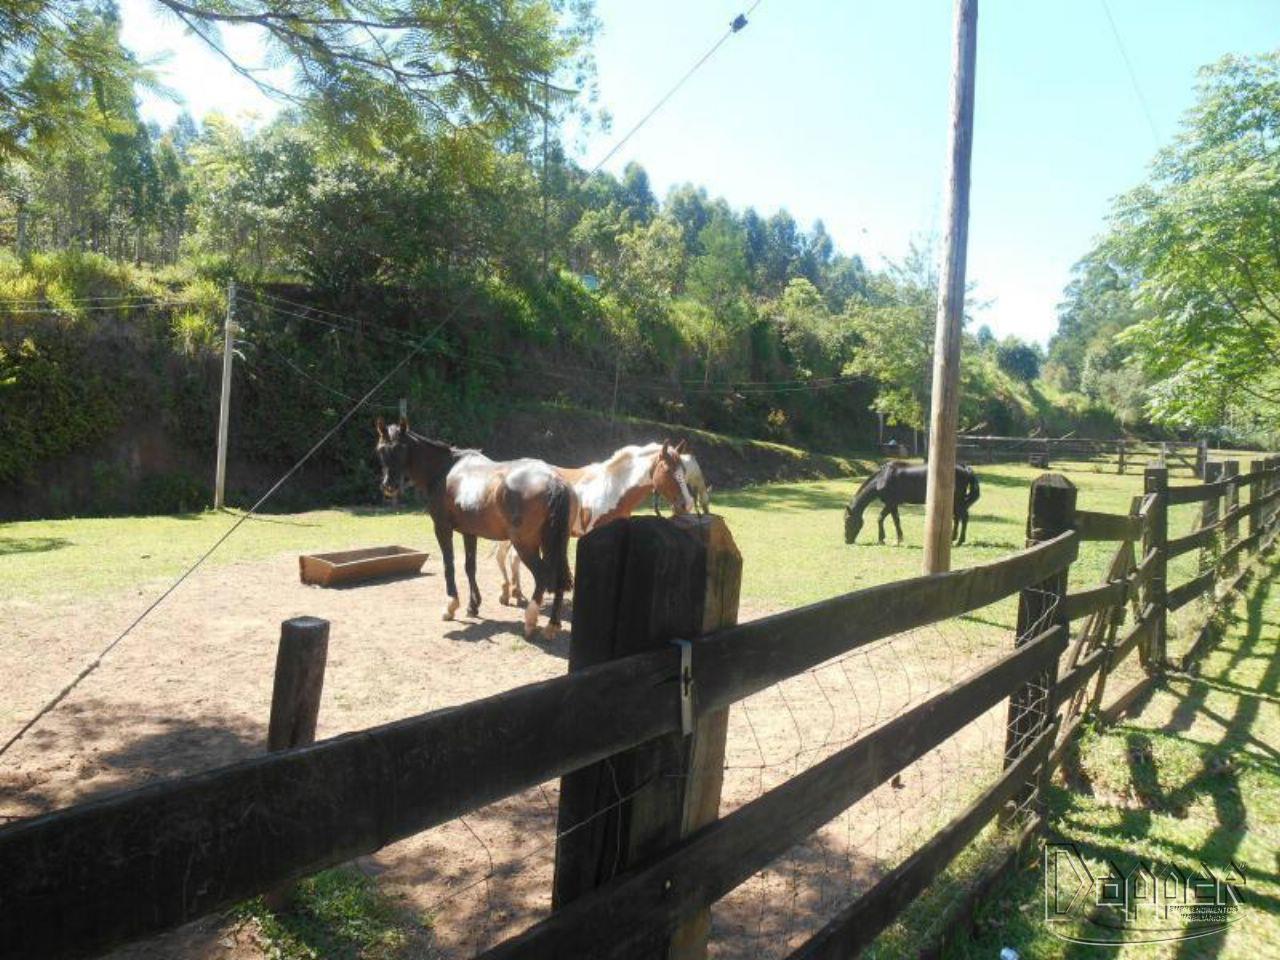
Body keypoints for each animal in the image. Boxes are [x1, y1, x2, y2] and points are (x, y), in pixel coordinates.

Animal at [376, 419, 573, 640]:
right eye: (381, 449)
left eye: (401, 449)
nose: (389, 486)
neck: (444, 470)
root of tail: (554, 482)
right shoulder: (469, 532)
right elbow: (470, 566)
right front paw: (473, 606)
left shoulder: (442, 528)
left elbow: (449, 565)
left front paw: (451, 606)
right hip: (554, 545)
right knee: (560, 578)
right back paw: (552, 626)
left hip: (525, 544)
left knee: (542, 576)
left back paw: (530, 622)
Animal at [491, 440, 696, 604]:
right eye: (668, 470)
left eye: (685, 471)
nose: (687, 504)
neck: (612, 489)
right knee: (503, 556)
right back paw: (507, 594)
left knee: (513, 558)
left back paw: (516, 594)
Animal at [844, 463, 983, 545]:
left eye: (847, 521)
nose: (847, 540)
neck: (882, 479)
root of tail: (965, 469)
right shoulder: (893, 504)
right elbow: (896, 521)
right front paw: (899, 539)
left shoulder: (890, 503)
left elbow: (880, 518)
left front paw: (881, 539)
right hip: (954, 502)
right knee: (957, 518)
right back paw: (953, 538)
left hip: (958, 501)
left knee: (964, 517)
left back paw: (959, 541)